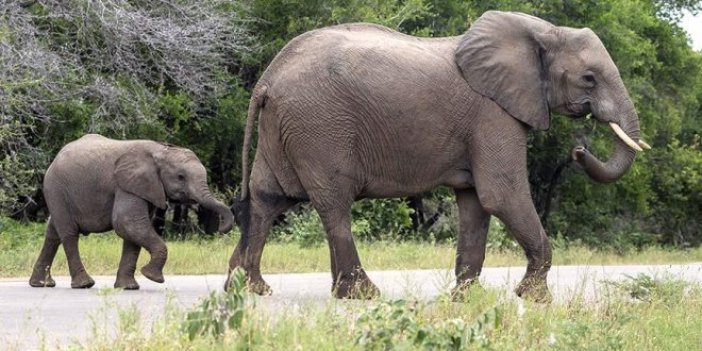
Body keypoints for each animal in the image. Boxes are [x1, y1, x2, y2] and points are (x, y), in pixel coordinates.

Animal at [29, 133, 234, 290]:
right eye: (181, 177)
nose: (220, 228)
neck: (160, 151)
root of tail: (56, 157)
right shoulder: (127, 185)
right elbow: (127, 223)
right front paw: (152, 277)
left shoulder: (147, 188)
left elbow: (133, 232)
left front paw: (128, 287)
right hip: (57, 189)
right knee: (69, 234)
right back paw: (84, 284)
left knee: (53, 233)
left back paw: (41, 284)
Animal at [226, 11, 648, 302]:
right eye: (589, 79)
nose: (579, 150)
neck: (542, 31)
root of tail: (267, 79)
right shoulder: (493, 114)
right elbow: (502, 195)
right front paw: (535, 299)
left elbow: (476, 203)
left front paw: (466, 299)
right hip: (319, 126)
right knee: (333, 204)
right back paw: (361, 294)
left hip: (284, 129)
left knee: (267, 197)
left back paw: (248, 288)